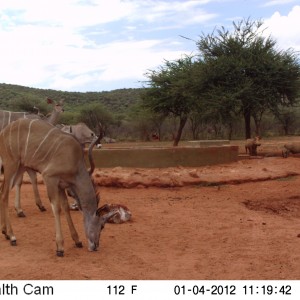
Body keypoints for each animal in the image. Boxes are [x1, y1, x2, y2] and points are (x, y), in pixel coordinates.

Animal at [0, 118, 115, 256]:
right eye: (102, 226)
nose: (95, 246)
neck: (74, 160)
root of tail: (3, 132)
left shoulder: (61, 185)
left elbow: (65, 207)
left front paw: (77, 241)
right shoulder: (50, 177)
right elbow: (57, 208)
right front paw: (60, 247)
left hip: (20, 167)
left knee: (2, 191)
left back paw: (5, 232)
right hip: (11, 164)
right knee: (4, 195)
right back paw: (12, 236)